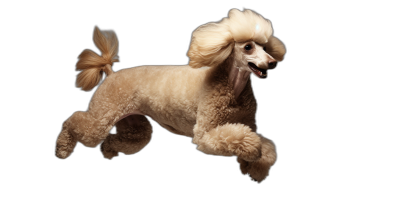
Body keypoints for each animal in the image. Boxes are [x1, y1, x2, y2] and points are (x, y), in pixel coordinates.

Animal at [56, 8, 286, 184]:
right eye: (248, 47)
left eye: (265, 47)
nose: (273, 62)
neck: (232, 86)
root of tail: (111, 74)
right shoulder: (204, 133)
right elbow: (241, 139)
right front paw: (252, 151)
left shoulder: (248, 123)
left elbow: (264, 145)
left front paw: (254, 167)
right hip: (104, 113)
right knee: (76, 121)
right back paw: (62, 149)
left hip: (132, 122)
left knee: (127, 138)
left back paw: (108, 149)